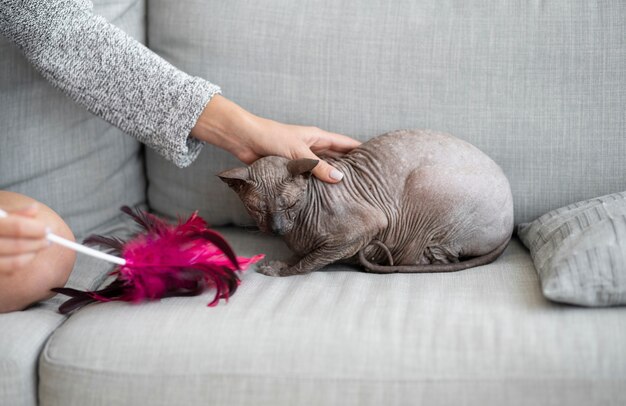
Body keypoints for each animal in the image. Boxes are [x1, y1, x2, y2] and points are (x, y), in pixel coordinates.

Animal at [219, 129, 512, 276]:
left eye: (291, 205)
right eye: (256, 209)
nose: (277, 229)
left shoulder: (364, 228)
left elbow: (310, 261)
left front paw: (279, 270)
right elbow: (303, 254)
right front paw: (284, 260)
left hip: (426, 188)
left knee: (426, 259)